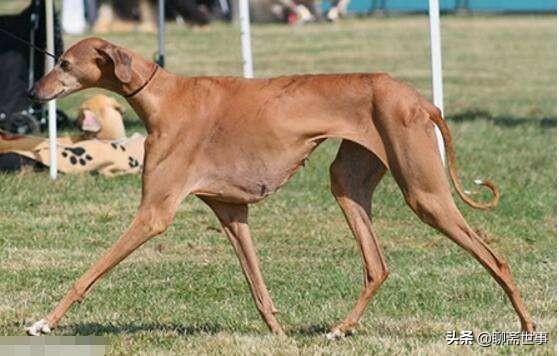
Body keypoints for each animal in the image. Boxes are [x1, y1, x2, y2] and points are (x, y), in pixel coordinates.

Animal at [25, 37, 532, 338]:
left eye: (64, 62)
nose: (32, 94)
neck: (164, 96)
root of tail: (418, 97)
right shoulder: (231, 213)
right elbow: (257, 285)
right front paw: (279, 334)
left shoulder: (154, 214)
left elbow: (88, 273)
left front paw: (46, 322)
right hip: (348, 184)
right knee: (377, 266)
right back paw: (341, 328)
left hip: (425, 194)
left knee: (495, 258)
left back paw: (526, 324)